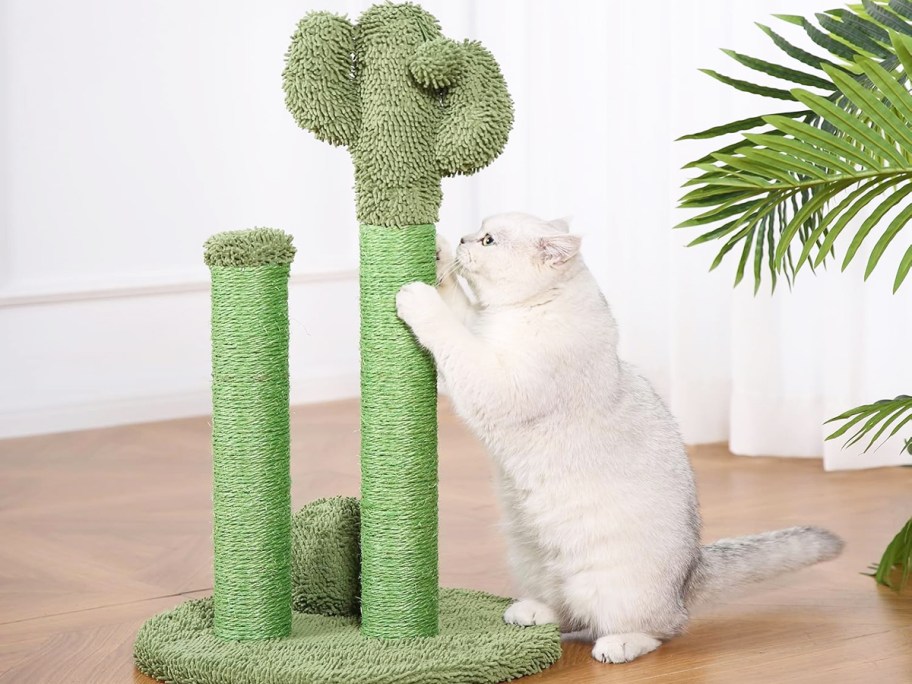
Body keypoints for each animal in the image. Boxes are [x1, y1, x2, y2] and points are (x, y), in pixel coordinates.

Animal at [396, 212, 844, 664]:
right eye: (477, 231)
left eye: (488, 240)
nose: (464, 238)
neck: (519, 313)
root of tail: (690, 574)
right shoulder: (479, 332)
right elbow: (457, 305)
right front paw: (436, 251)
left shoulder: (495, 381)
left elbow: (450, 333)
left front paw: (416, 297)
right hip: (530, 560)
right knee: (568, 611)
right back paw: (531, 612)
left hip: (613, 588)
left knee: (658, 627)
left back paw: (619, 645)